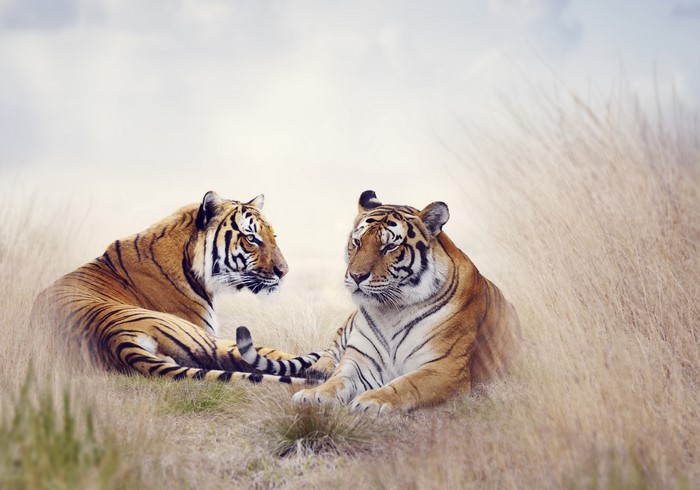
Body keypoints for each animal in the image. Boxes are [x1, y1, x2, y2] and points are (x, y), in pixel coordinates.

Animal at [235, 190, 522, 412]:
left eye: (390, 247)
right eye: (357, 242)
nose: (356, 276)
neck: (392, 310)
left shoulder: (444, 368)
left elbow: (406, 384)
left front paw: (372, 401)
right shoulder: (360, 359)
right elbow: (339, 379)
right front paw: (315, 394)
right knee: (330, 352)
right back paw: (319, 370)